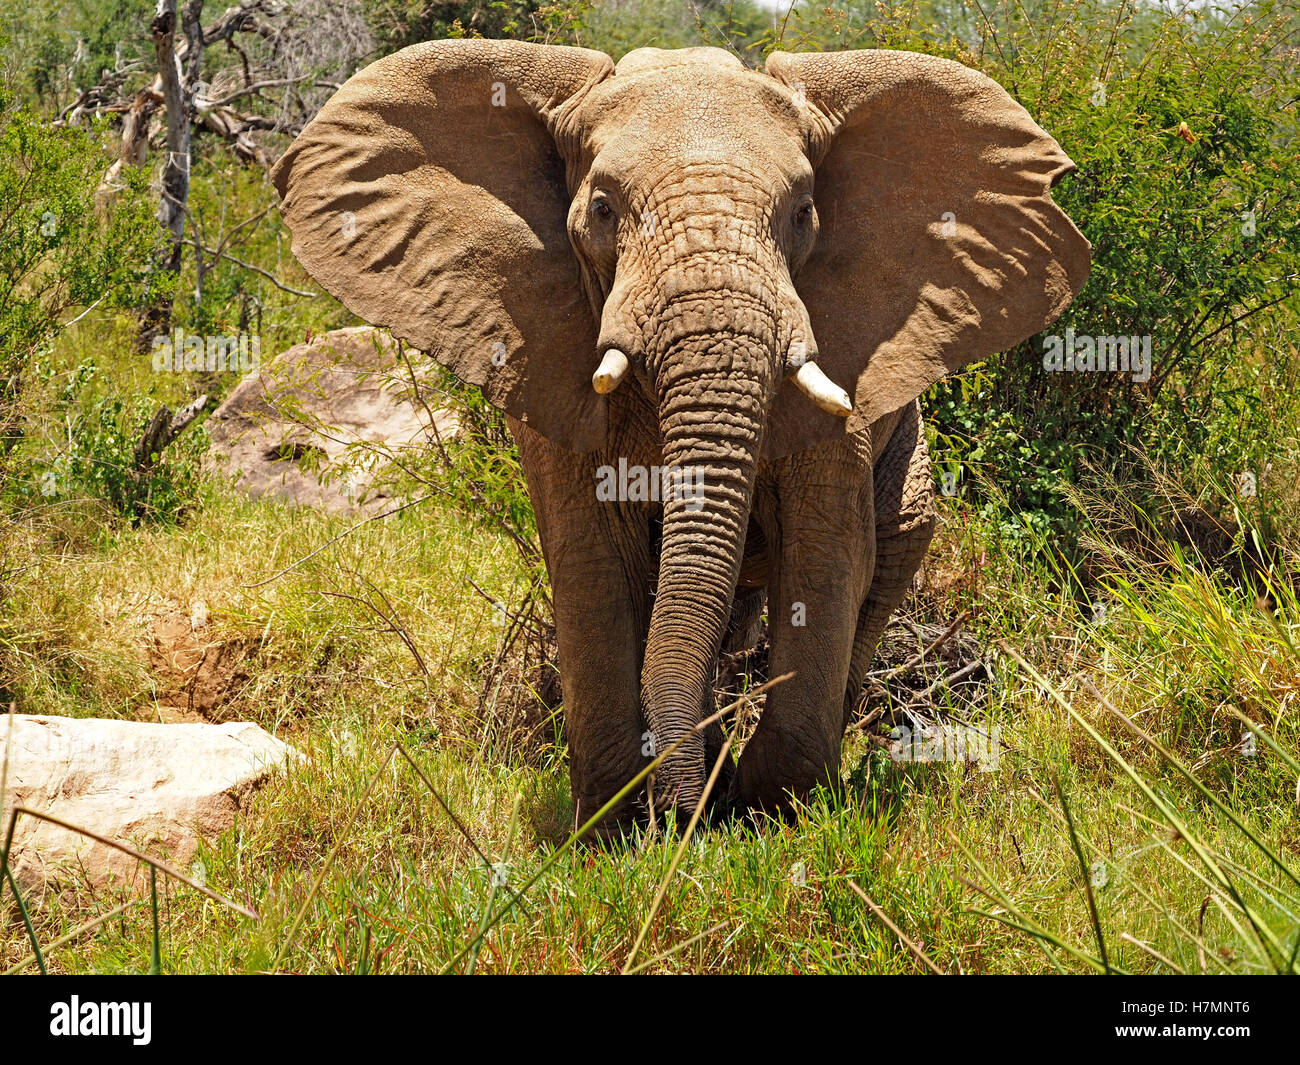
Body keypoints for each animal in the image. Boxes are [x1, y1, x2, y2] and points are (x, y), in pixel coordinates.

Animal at [271, 39, 1086, 832]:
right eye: (602, 209)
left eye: (803, 213)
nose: (693, 812)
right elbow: (592, 559)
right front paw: (624, 825)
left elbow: (824, 554)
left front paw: (769, 808)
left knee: (887, 553)